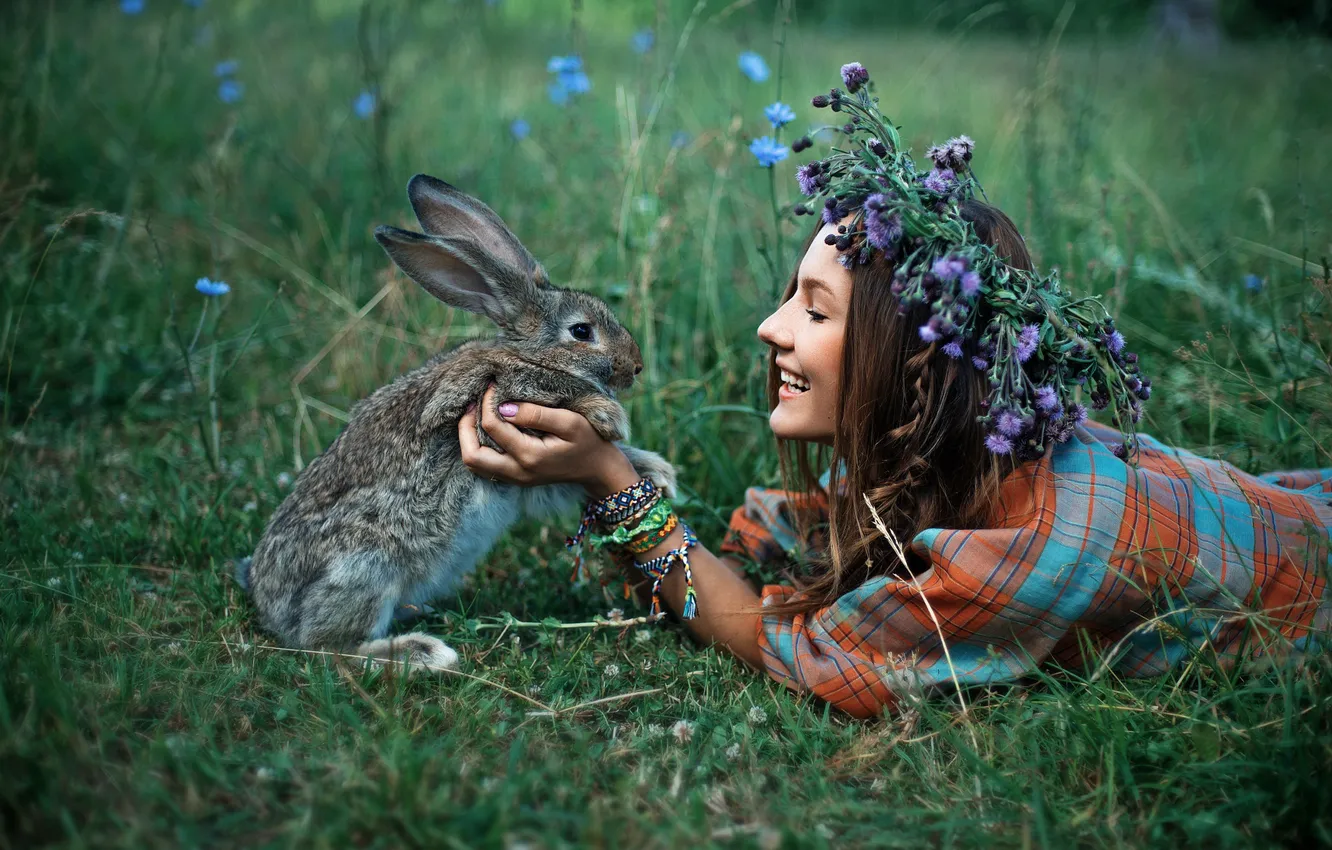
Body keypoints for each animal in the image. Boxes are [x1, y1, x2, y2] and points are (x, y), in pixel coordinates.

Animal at [235, 173, 677, 673]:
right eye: (582, 331)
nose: (635, 367)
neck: (529, 353)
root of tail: (271, 609)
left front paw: (656, 470)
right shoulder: (501, 399)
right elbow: (553, 389)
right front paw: (610, 415)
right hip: (366, 564)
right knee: (327, 647)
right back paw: (422, 652)